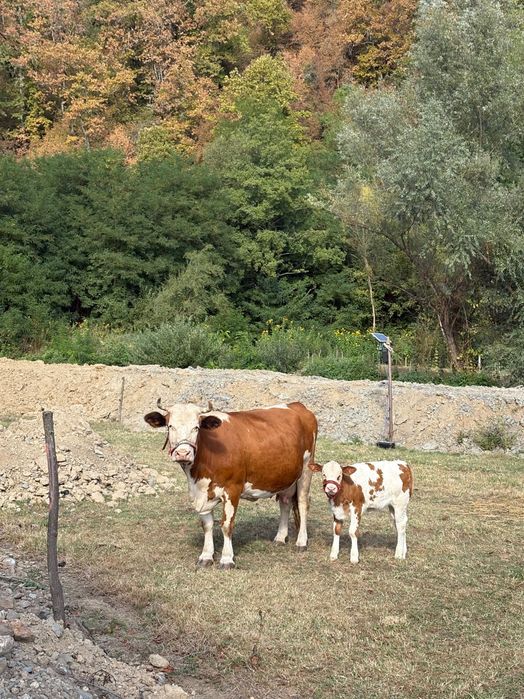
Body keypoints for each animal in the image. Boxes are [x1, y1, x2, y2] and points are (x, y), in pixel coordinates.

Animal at [144, 401, 317, 569]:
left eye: (196, 427)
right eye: (170, 426)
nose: (183, 453)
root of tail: (297, 405)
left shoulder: (232, 489)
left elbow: (227, 525)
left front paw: (227, 559)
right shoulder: (201, 493)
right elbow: (207, 525)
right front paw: (206, 556)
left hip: (306, 468)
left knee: (302, 503)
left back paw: (301, 541)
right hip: (285, 474)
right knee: (285, 502)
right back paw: (280, 537)